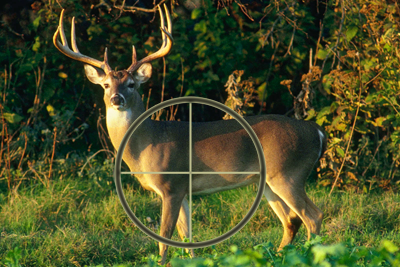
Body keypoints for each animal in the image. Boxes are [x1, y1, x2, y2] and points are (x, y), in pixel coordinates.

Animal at [54, 4, 328, 266]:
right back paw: (278, 257)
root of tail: (316, 131)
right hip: (269, 181)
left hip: (288, 172)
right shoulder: (183, 190)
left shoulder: (171, 185)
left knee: (313, 216)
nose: (116, 99)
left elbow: (165, 236)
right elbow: (187, 237)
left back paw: (310, 255)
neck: (147, 143)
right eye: (106, 85)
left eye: (131, 84)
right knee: (291, 220)